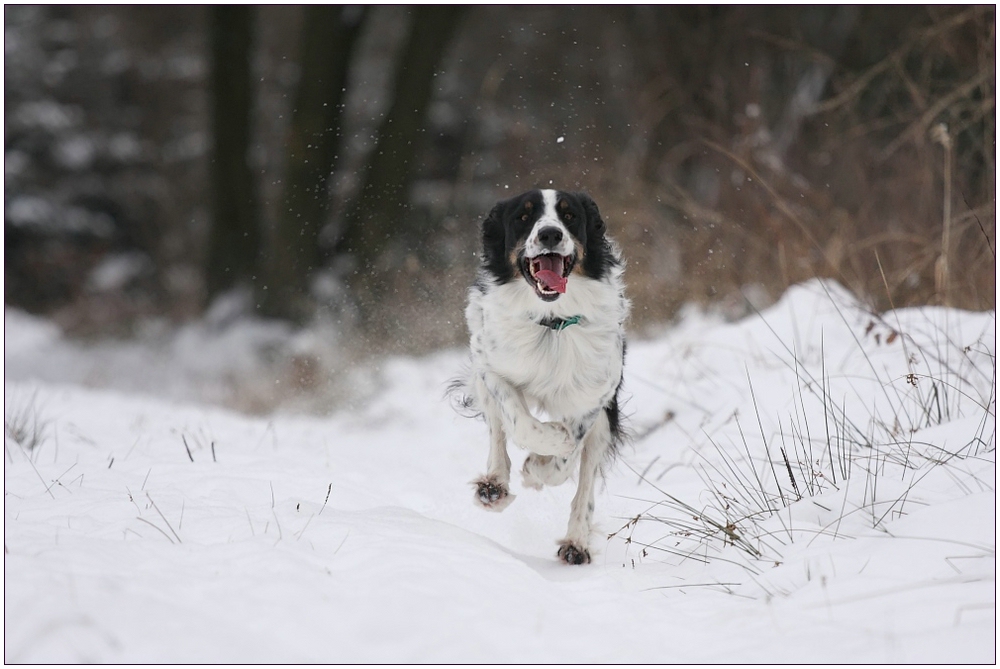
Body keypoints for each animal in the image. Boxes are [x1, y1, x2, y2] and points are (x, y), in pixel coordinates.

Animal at [452, 188, 628, 564]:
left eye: (570, 215)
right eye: (523, 216)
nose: (550, 234)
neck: (552, 322)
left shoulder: (596, 396)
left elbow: (567, 459)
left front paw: (537, 469)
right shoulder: (490, 366)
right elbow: (520, 423)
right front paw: (550, 442)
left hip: (604, 420)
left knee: (586, 480)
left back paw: (575, 544)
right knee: (497, 430)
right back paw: (493, 487)